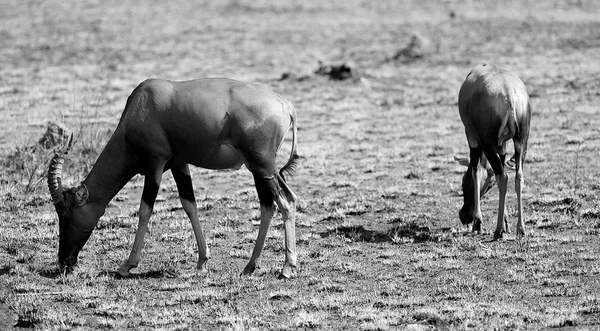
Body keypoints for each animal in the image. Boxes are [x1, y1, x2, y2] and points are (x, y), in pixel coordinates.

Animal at [47, 78, 300, 280]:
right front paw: (202, 261)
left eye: (66, 214)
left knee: (285, 202)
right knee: (271, 204)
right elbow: (189, 204)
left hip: (261, 165)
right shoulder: (180, 164)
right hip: (261, 169)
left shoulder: (155, 164)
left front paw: (126, 265)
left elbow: (145, 209)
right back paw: (250, 266)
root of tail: (286, 106)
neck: (144, 102)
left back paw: (287, 268)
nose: (64, 262)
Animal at [452, 63, 532, 240]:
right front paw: (506, 222)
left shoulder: (473, 138)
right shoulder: (501, 145)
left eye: (463, 181)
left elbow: (476, 171)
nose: (464, 216)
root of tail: (509, 95)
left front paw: (478, 223)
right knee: (517, 176)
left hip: (487, 142)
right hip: (521, 140)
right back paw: (520, 229)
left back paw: (498, 231)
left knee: (503, 176)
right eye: (490, 185)